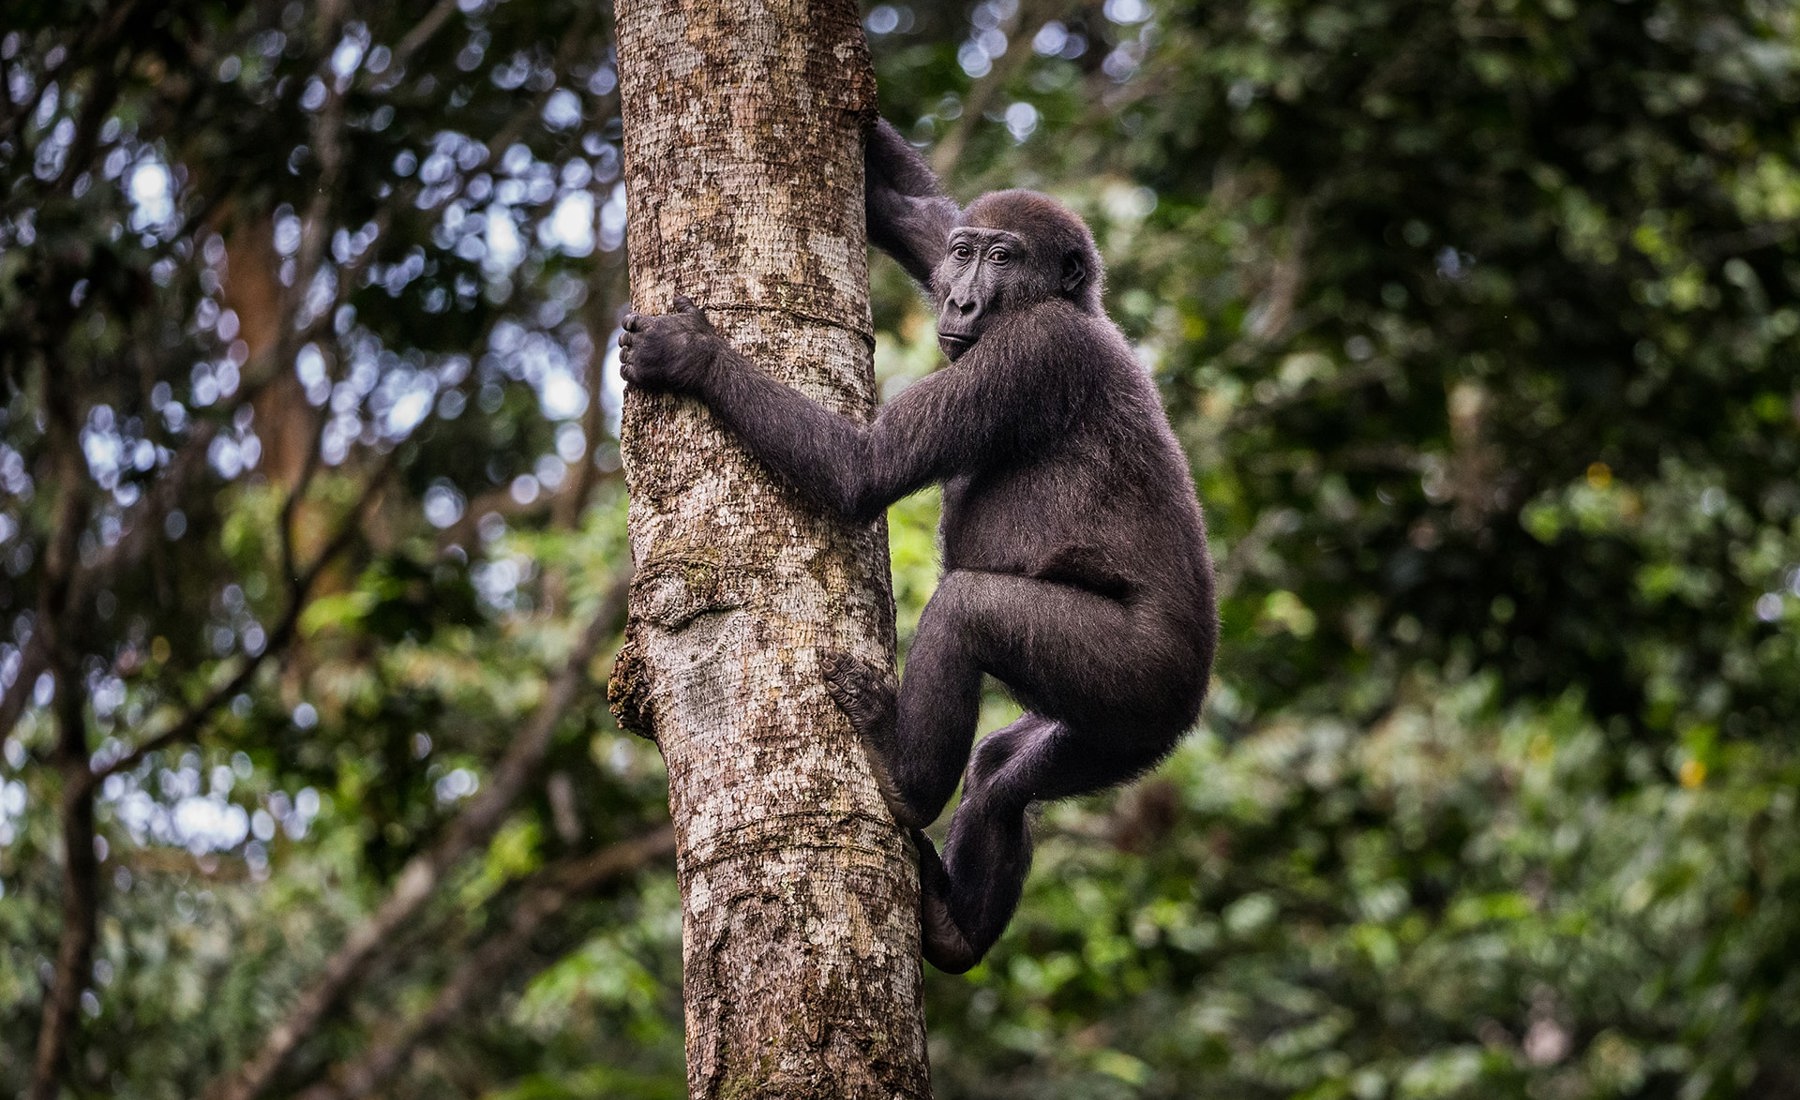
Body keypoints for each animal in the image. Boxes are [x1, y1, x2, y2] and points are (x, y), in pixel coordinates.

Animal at [618, 118, 1216, 973]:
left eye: (1004, 259)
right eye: (965, 253)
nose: (963, 294)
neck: (1066, 304)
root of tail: (1190, 708)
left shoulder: (1028, 351)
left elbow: (864, 469)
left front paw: (691, 357)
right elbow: (912, 212)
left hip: (1138, 675)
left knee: (967, 614)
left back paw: (907, 783)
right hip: (1123, 736)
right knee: (1005, 778)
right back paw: (957, 926)